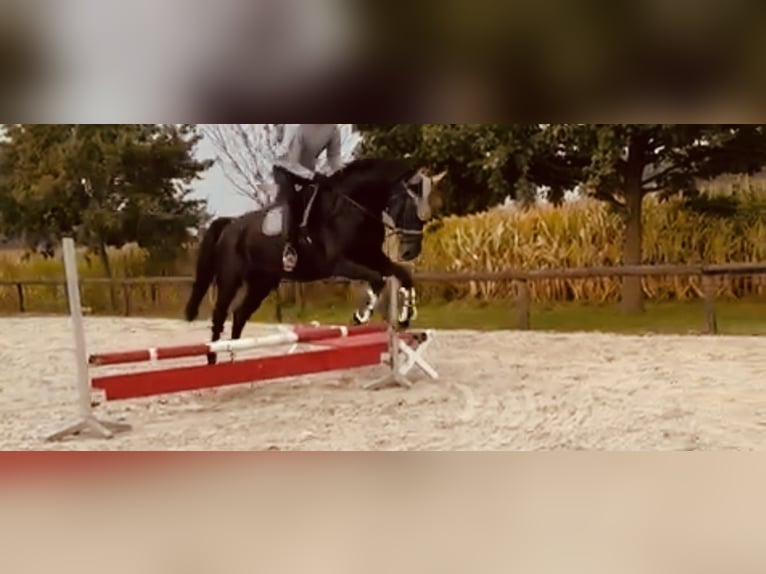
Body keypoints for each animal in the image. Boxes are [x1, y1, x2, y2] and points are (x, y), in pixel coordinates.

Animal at [184, 157, 445, 365]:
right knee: (220, 316)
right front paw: (361, 315)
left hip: (262, 282)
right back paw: (212, 358)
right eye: (410, 206)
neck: (353, 207)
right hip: (230, 279)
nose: (411, 252)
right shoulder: (339, 264)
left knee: (239, 315)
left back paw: (233, 358)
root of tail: (230, 224)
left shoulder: (373, 256)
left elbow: (403, 275)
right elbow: (377, 279)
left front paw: (405, 316)